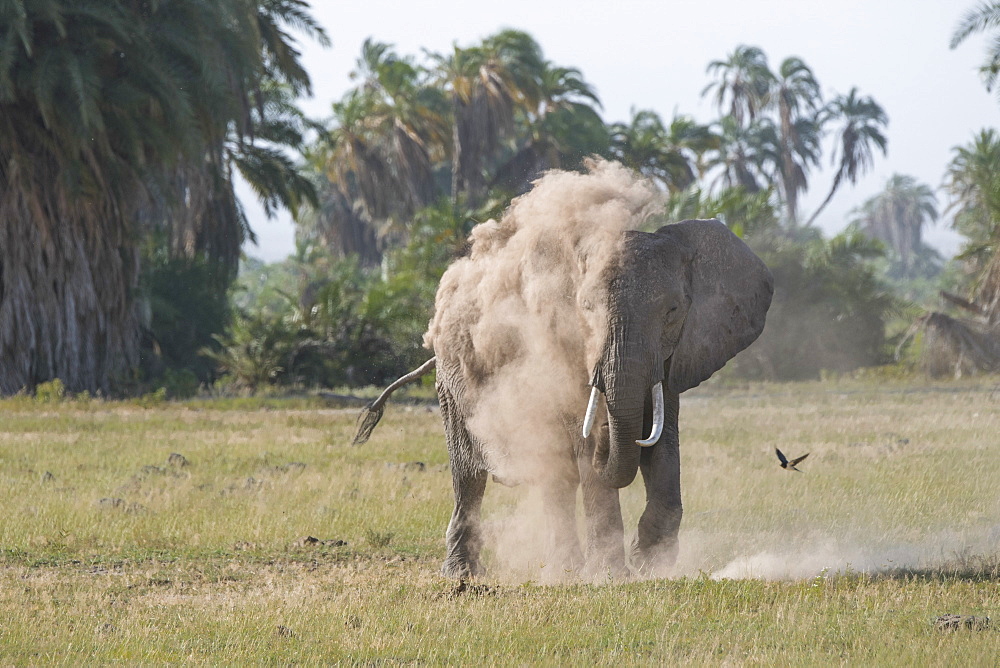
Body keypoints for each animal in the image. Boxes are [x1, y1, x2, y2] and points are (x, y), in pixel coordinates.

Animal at [356, 218, 776, 580]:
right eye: (585, 309)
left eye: (672, 311)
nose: (608, 431)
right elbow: (588, 448)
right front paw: (612, 576)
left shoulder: (674, 357)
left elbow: (663, 446)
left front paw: (650, 565)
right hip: (451, 384)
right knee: (469, 475)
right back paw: (465, 574)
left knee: (555, 476)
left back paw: (564, 569)